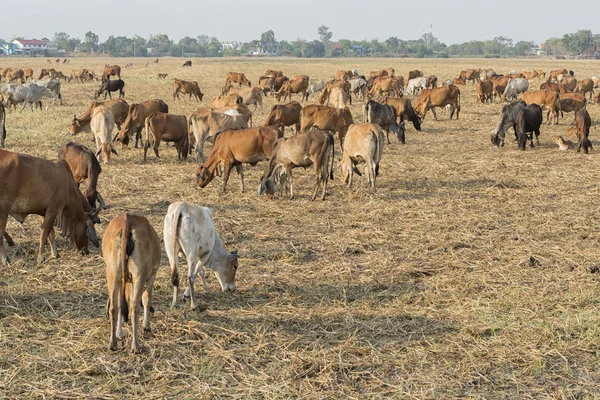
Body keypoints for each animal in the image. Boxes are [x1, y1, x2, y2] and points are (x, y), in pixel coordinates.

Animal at [103, 212, 161, 354]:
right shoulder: (151, 275)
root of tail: (127, 221)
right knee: (135, 307)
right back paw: (135, 346)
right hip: (139, 275)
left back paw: (113, 343)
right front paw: (146, 326)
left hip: (113, 273)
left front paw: (119, 333)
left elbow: (120, 304)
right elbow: (146, 298)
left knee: (114, 307)